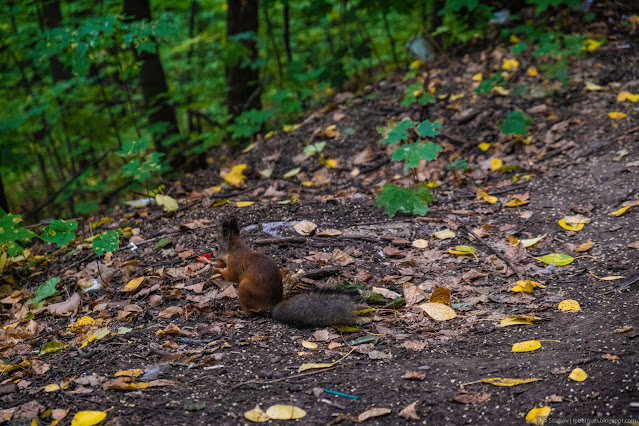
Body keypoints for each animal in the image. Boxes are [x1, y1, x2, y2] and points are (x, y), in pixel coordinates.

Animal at [212, 218, 358, 328]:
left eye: (216, 247)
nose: (212, 254)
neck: (235, 249)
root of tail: (271, 306)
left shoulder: (235, 264)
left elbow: (231, 276)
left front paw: (216, 269)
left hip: (245, 288)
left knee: (250, 309)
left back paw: (243, 312)